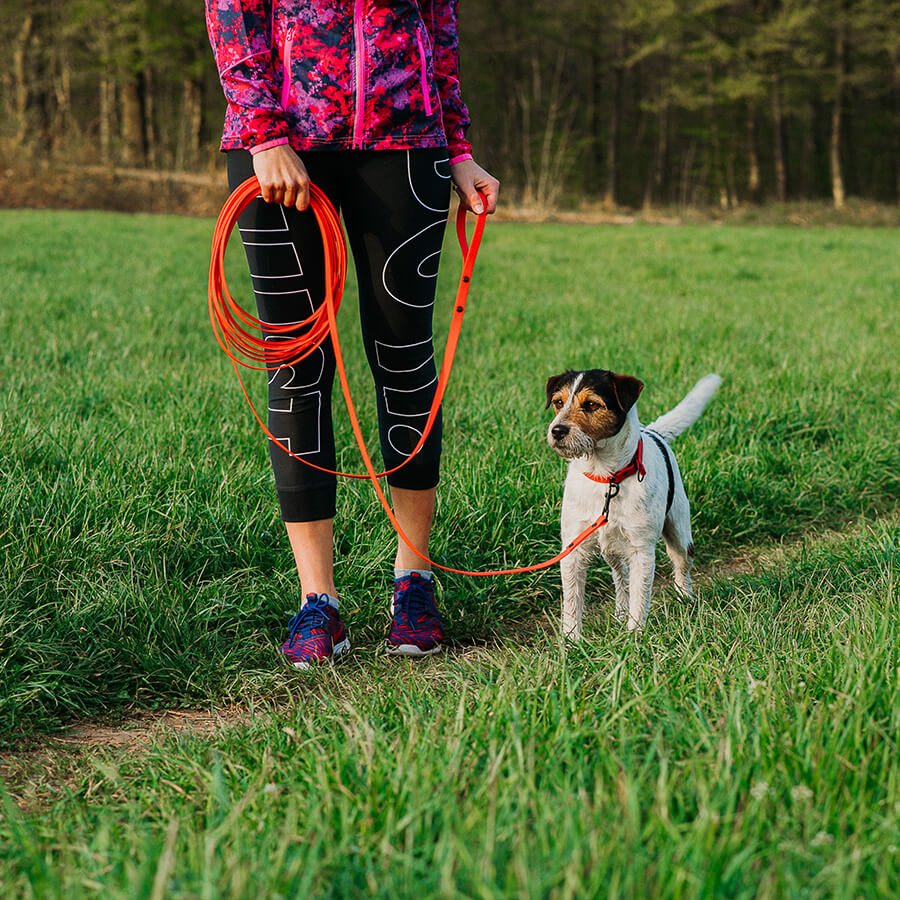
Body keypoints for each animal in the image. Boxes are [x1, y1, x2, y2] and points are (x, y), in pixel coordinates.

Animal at [540, 370, 724, 636]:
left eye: (592, 404)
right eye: (558, 402)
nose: (557, 430)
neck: (606, 477)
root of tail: (653, 431)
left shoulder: (641, 549)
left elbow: (640, 595)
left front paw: (634, 636)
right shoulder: (574, 547)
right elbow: (573, 601)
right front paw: (571, 639)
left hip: (679, 532)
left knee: (681, 566)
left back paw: (686, 600)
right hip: (611, 547)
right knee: (621, 575)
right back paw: (620, 612)